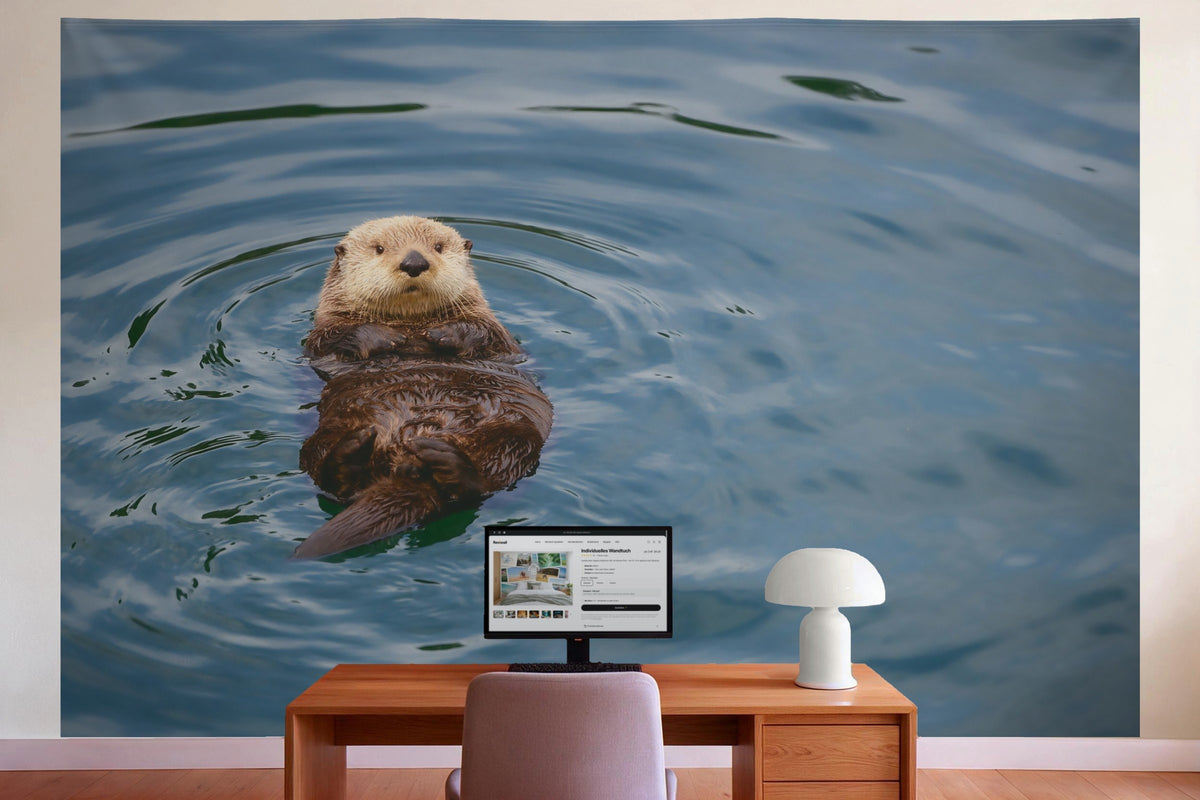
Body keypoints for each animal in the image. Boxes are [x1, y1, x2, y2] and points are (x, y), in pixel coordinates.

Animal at [294, 216, 553, 559]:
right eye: (379, 248)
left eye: (438, 247)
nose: (414, 261)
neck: (412, 326)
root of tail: (405, 467)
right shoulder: (319, 340)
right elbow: (331, 338)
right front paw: (382, 338)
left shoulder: (500, 336)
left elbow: (484, 333)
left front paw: (444, 334)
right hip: (326, 434)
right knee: (326, 474)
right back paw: (352, 450)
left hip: (513, 437)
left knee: (478, 486)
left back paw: (443, 460)